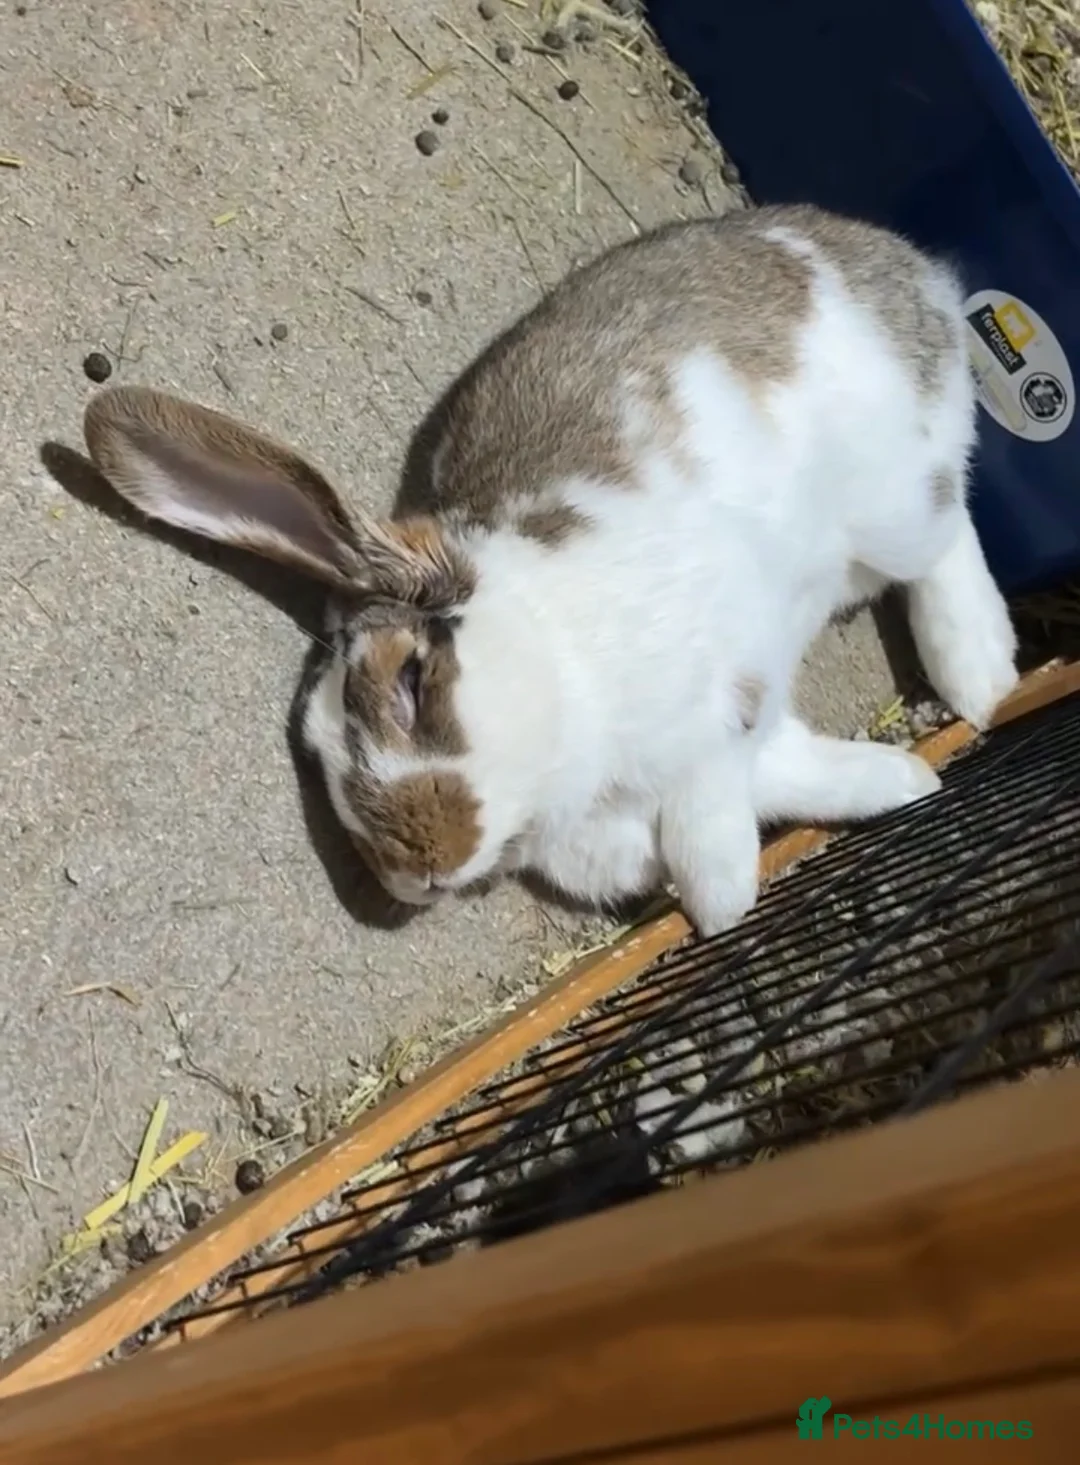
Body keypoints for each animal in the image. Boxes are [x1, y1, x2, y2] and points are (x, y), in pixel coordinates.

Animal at [82, 202, 1018, 938]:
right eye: (315, 752)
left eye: (412, 681)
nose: (420, 864)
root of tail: (906, 267)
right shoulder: (750, 738)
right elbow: (793, 772)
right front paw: (908, 782)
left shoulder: (723, 681)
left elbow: (709, 799)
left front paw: (720, 895)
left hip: (893, 503)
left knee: (951, 526)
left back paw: (978, 671)